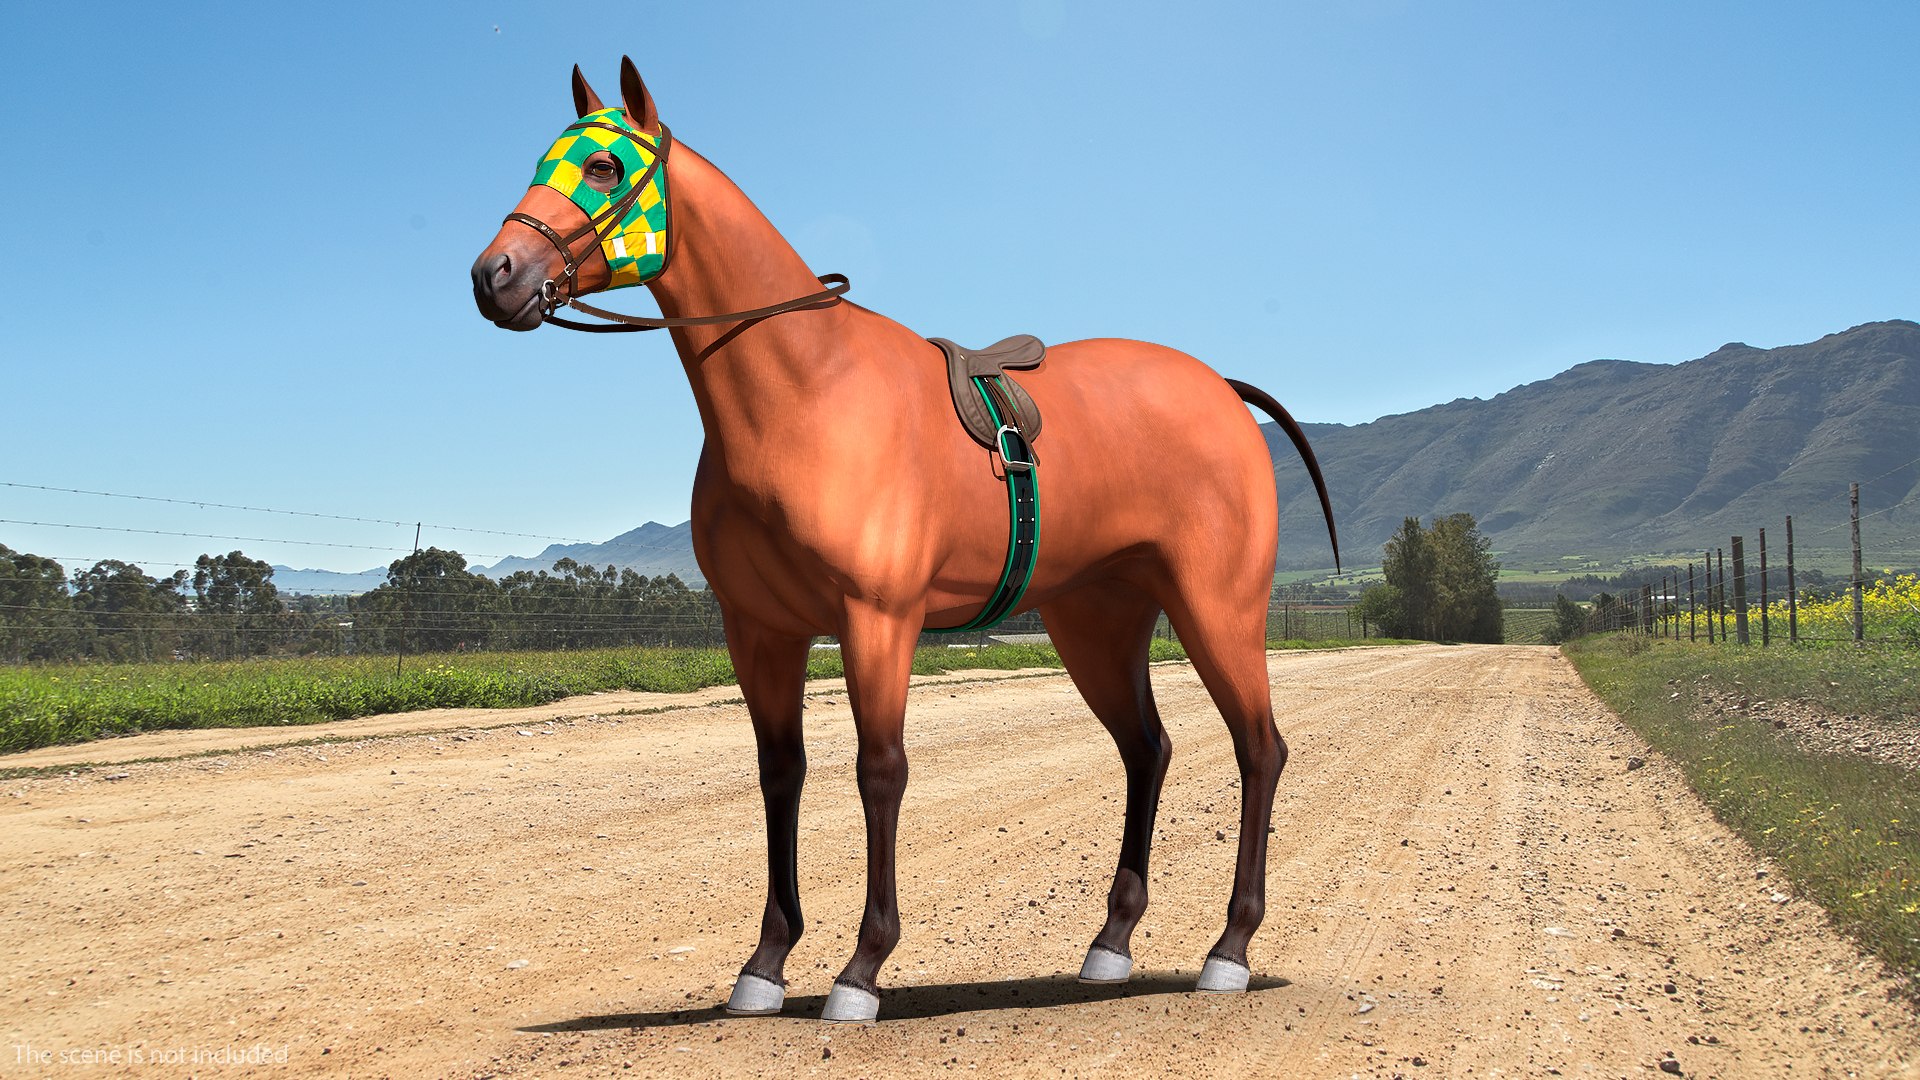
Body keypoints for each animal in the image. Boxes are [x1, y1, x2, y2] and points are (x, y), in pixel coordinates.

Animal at [470, 57, 1338, 1023]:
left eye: (604, 168)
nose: (495, 274)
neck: (805, 389)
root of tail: (1221, 391)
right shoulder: (759, 632)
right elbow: (782, 775)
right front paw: (766, 963)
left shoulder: (877, 622)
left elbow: (879, 771)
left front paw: (862, 967)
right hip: (1097, 624)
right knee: (1146, 749)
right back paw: (1110, 944)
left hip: (1216, 605)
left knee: (1259, 748)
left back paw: (1230, 948)